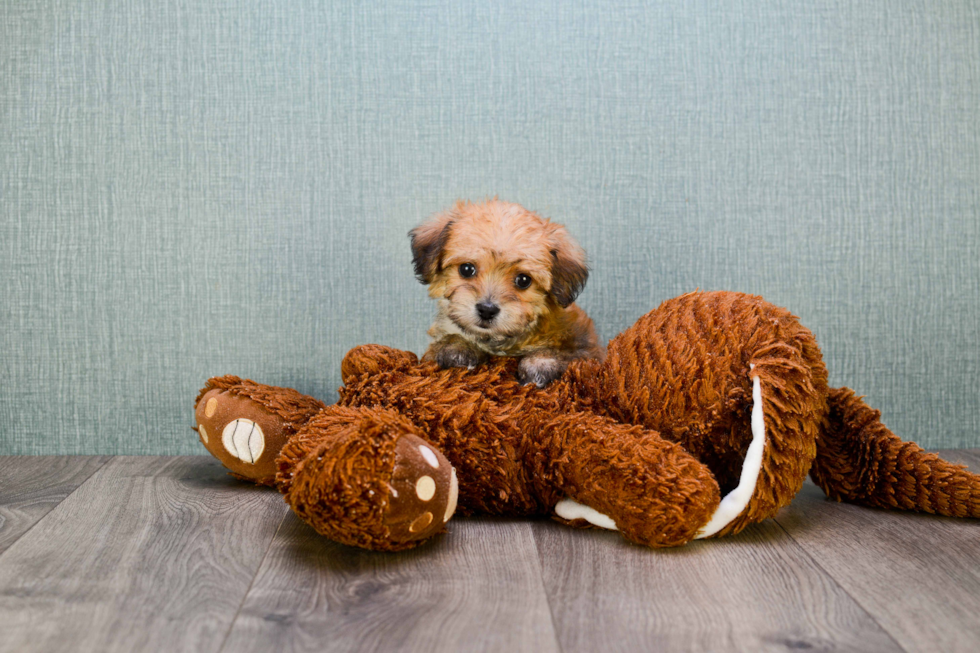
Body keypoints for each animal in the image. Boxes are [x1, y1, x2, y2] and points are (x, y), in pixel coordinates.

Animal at [408, 199, 604, 388]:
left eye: (523, 280)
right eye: (466, 269)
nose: (487, 310)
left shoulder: (587, 347)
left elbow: (568, 353)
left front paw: (540, 364)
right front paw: (457, 347)